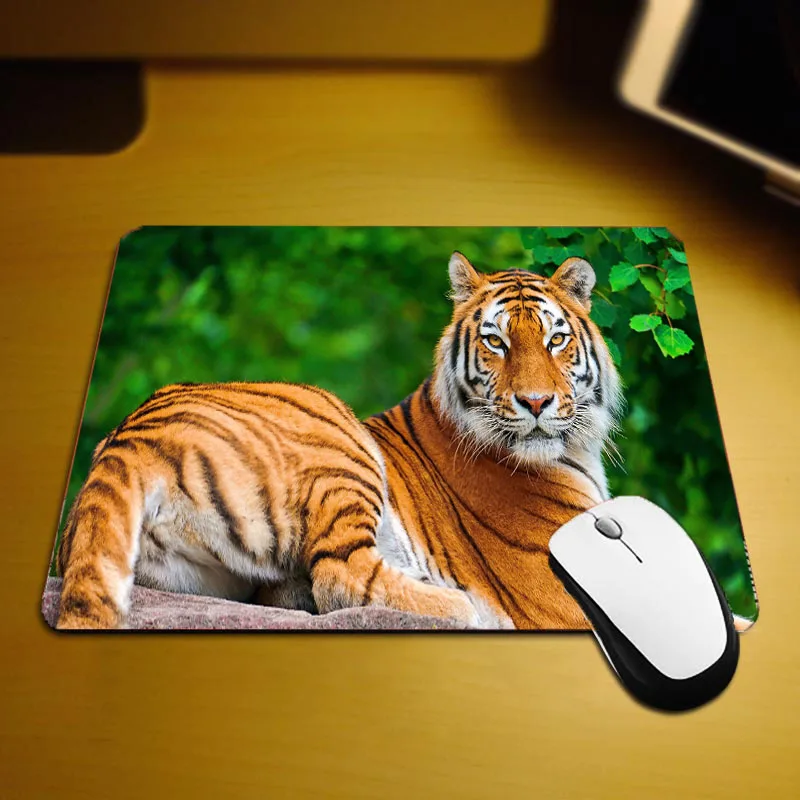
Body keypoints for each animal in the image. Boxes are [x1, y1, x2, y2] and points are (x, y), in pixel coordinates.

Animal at [55, 252, 623, 630]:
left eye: (556, 339)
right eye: (495, 342)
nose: (535, 402)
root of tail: (126, 440)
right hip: (337, 437)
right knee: (339, 574)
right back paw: (460, 608)